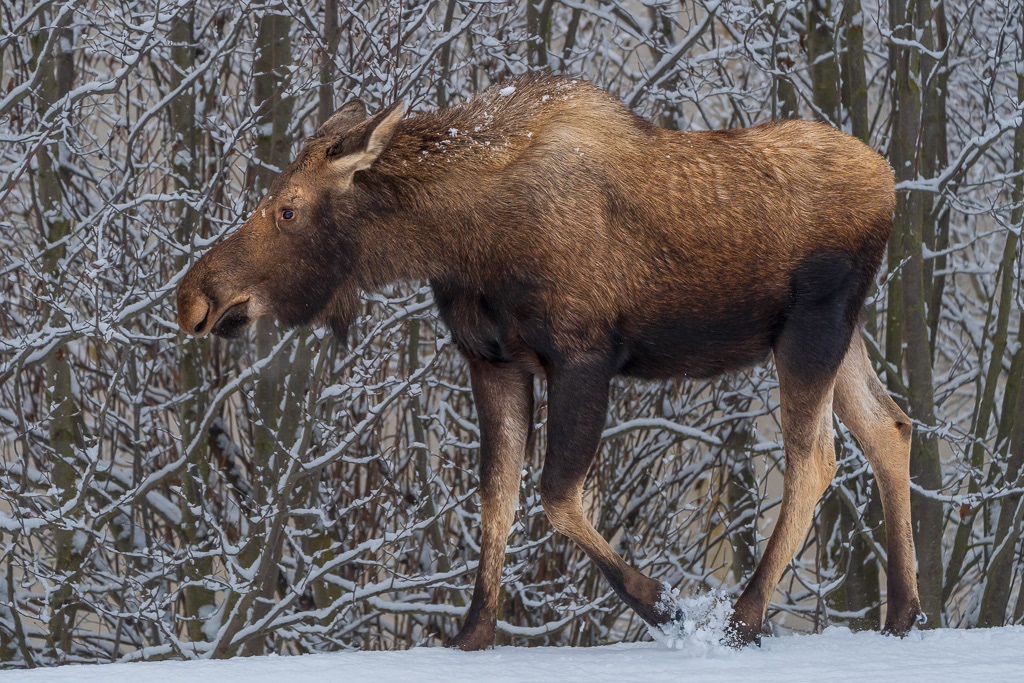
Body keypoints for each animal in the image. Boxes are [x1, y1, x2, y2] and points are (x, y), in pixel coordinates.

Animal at [176, 73, 923, 650]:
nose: (195, 296)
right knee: (890, 426)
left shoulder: (584, 354)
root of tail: (889, 180)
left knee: (815, 456)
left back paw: (745, 614)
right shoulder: (491, 361)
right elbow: (496, 494)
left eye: (288, 209)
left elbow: (556, 494)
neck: (458, 240)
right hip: (839, 330)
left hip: (811, 326)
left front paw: (663, 604)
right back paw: (903, 613)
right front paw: (473, 631)